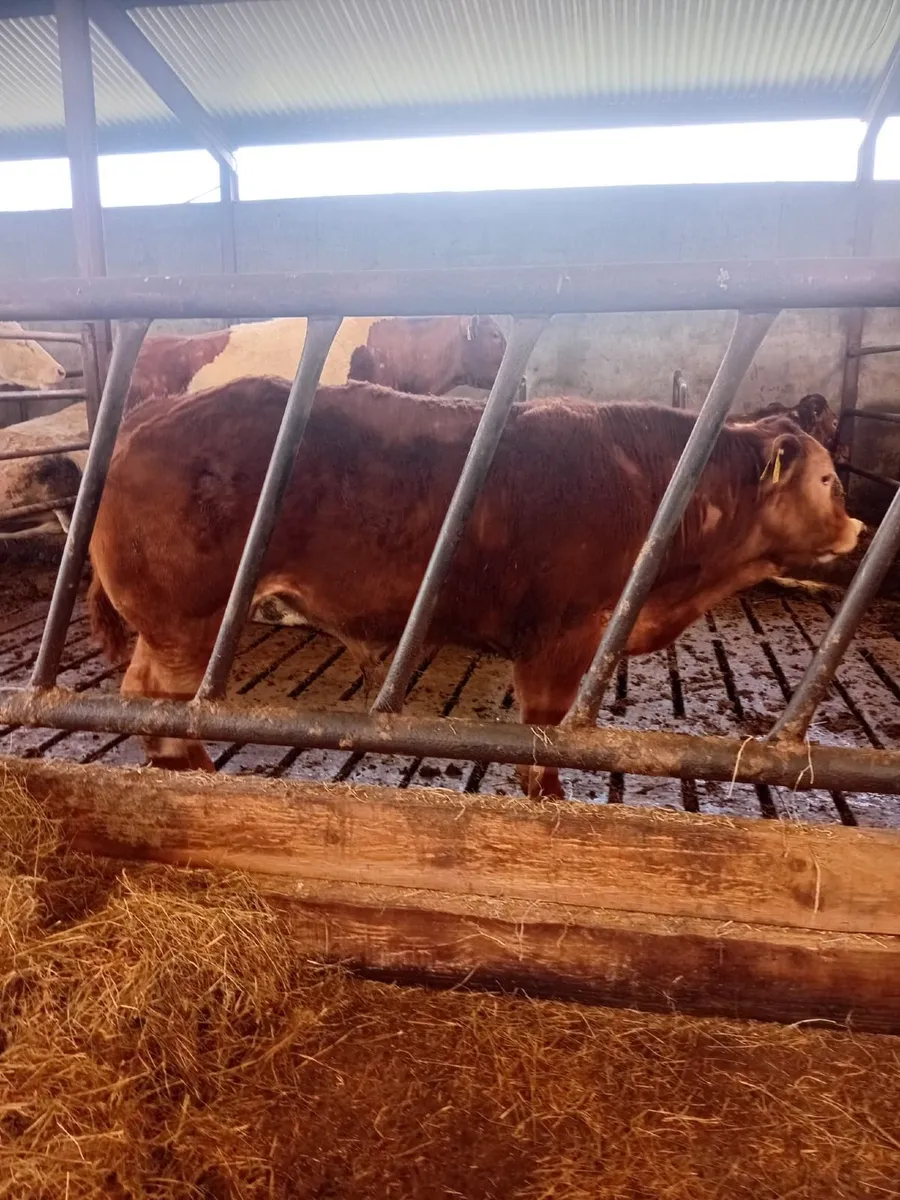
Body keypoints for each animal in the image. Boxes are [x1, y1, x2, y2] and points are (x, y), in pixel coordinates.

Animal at [88, 378, 862, 797]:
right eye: (828, 478)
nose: (858, 528)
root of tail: (148, 417)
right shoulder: (559, 640)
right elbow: (546, 738)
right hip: (185, 621)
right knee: (155, 705)